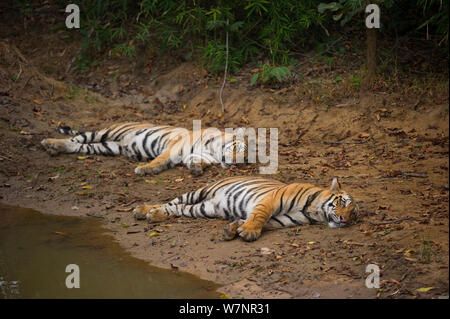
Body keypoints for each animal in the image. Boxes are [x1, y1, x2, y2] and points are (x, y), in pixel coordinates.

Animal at [40, 123, 246, 178]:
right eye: (238, 148)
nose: (237, 163)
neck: (213, 149)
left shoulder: (198, 155)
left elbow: (196, 160)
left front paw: (196, 169)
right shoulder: (175, 147)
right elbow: (160, 160)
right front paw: (144, 169)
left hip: (106, 147)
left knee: (76, 145)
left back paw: (54, 148)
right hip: (104, 133)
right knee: (75, 138)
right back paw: (48, 142)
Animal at [132, 176, 356, 241]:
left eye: (353, 214)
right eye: (343, 204)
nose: (345, 220)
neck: (315, 211)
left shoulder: (284, 220)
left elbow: (264, 222)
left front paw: (232, 229)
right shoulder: (270, 200)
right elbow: (259, 216)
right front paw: (248, 232)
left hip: (204, 208)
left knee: (178, 208)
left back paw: (154, 215)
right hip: (199, 192)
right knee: (170, 201)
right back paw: (143, 210)